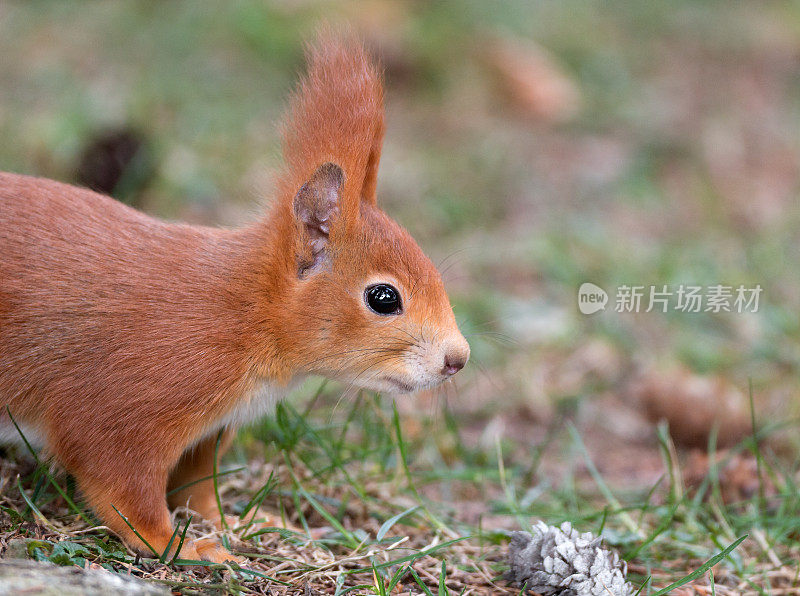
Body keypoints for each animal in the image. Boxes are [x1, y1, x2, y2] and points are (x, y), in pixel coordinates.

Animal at [0, 32, 468, 564]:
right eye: (384, 298)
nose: (458, 359)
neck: (245, 313)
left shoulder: (210, 432)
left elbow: (197, 488)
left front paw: (238, 522)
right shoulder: (128, 408)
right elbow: (123, 493)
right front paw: (182, 545)